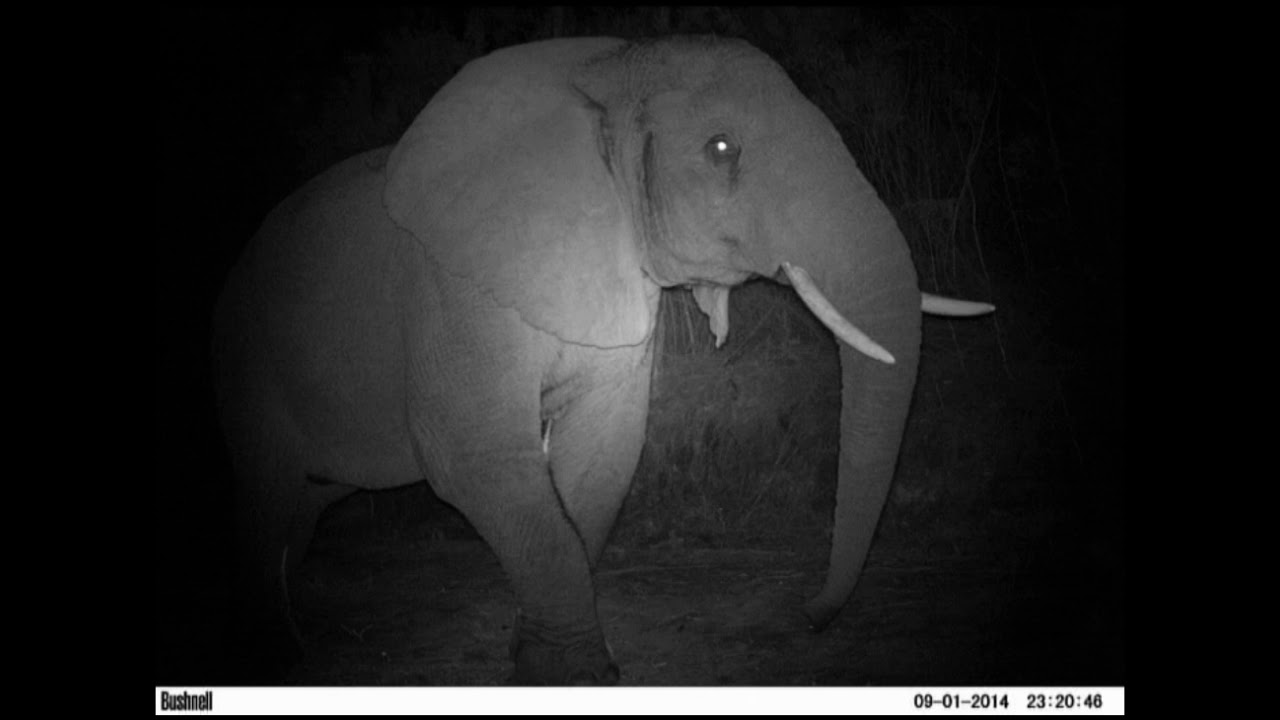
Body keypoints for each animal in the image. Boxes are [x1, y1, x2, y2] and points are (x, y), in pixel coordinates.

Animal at [212, 36, 993, 685]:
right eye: (720, 148)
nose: (810, 615)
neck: (610, 70)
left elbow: (603, 450)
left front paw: (543, 662)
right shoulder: (449, 288)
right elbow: (474, 457)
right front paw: (573, 675)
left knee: (298, 512)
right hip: (246, 362)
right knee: (262, 499)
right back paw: (279, 659)